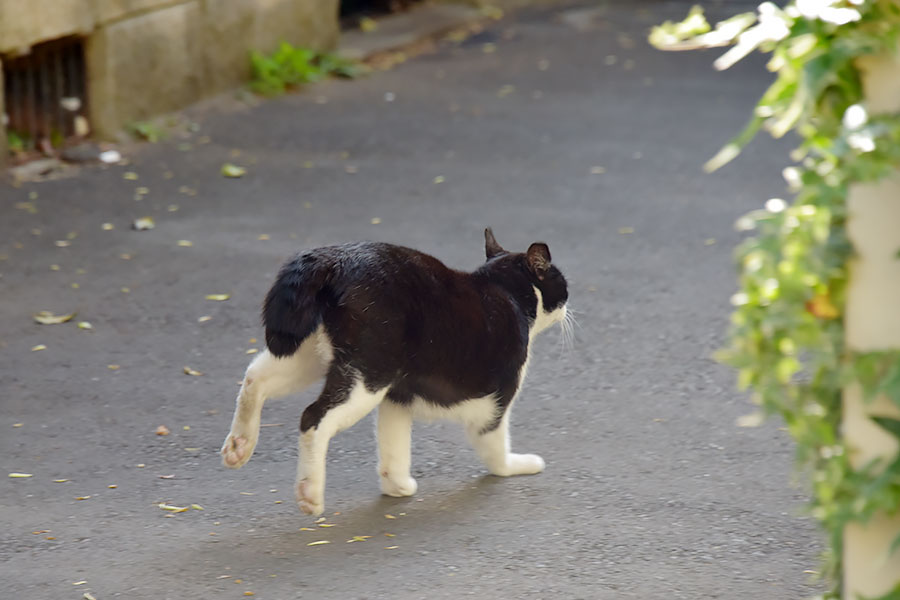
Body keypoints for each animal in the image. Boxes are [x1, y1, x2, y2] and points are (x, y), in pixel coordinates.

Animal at [221, 230, 568, 516]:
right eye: (562, 283)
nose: (568, 306)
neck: (504, 291)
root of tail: (333, 260)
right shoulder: (495, 399)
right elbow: (494, 444)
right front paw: (515, 466)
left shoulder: (398, 396)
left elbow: (394, 442)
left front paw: (397, 485)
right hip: (368, 375)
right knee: (313, 417)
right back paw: (309, 493)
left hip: (310, 354)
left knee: (254, 377)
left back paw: (239, 445)